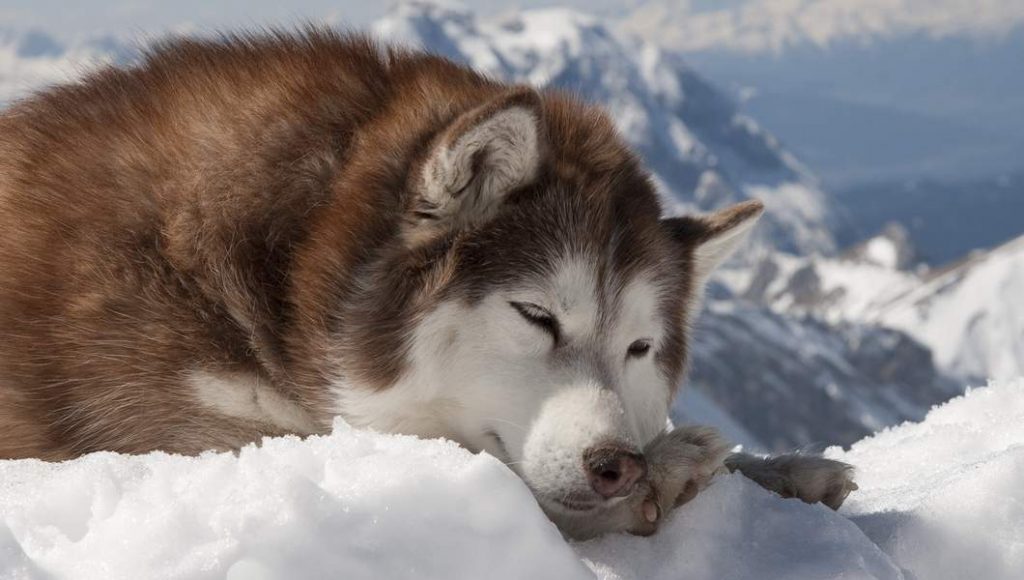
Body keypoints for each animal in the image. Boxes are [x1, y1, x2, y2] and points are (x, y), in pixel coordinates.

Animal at [0, 30, 851, 536]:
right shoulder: (181, 438)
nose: (618, 465)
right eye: (536, 315)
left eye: (639, 348)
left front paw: (785, 468)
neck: (292, 265)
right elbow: (514, 487)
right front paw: (673, 471)